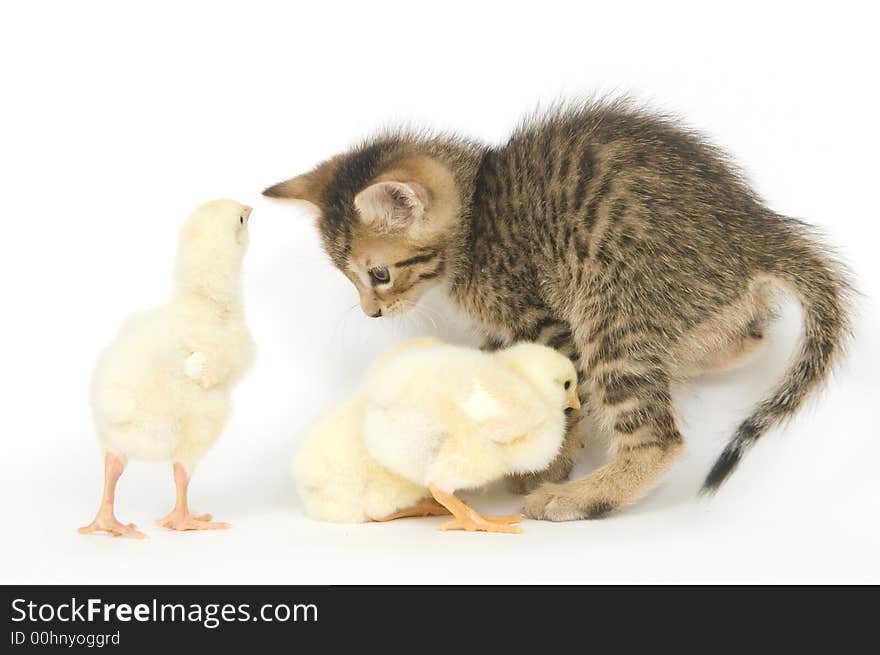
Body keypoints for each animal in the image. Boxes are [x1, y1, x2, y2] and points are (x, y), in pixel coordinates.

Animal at [262, 100, 852, 520]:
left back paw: (585, 496)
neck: (476, 215)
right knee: (746, 336)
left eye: (379, 274)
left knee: (656, 437)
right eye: (348, 277)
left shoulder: (544, 321)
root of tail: (754, 228)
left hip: (609, 307)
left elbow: (563, 399)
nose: (372, 314)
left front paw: (552, 463)